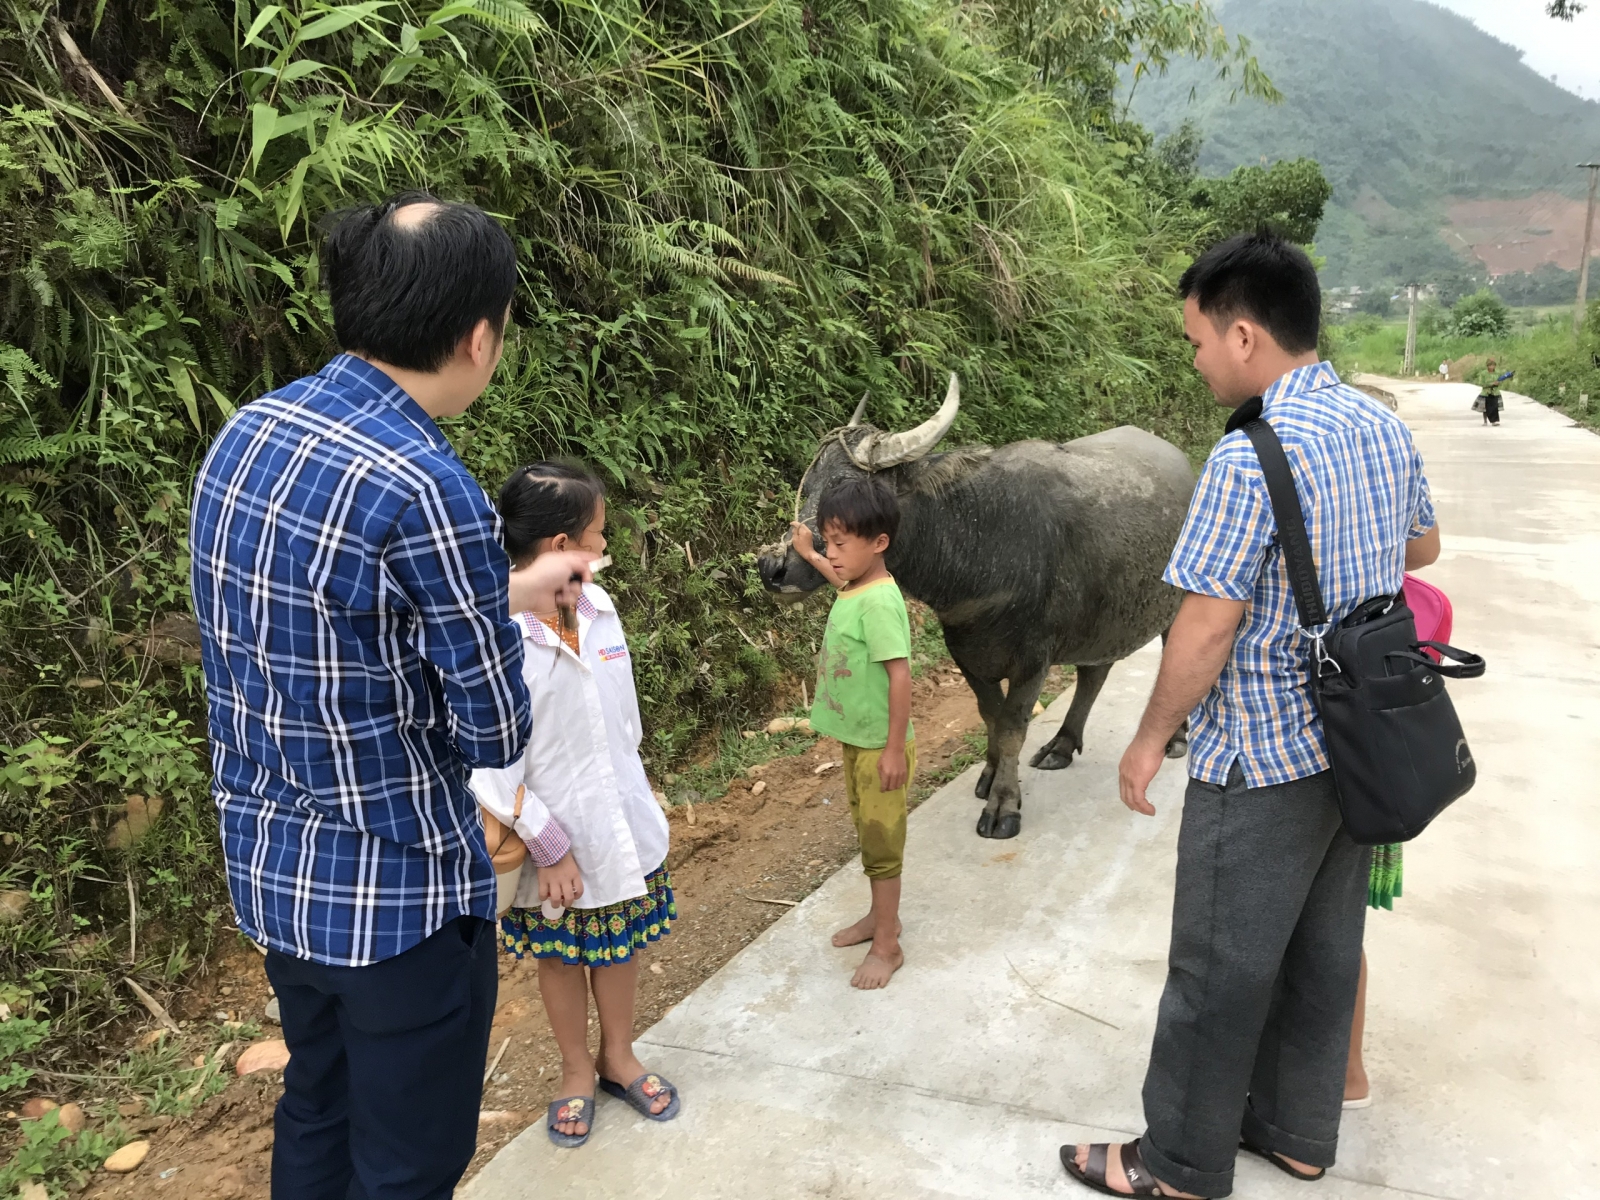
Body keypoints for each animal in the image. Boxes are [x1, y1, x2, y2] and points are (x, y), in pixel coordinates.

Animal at [755, 380, 1196, 838]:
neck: (982, 538)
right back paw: (1061, 745)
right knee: (1095, 672)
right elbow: (991, 716)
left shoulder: (1032, 660)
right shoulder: (964, 653)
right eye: (810, 486)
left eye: (846, 490)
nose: (772, 568)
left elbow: (1012, 727)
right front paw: (989, 776)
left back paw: (1175, 738)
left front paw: (1004, 805)